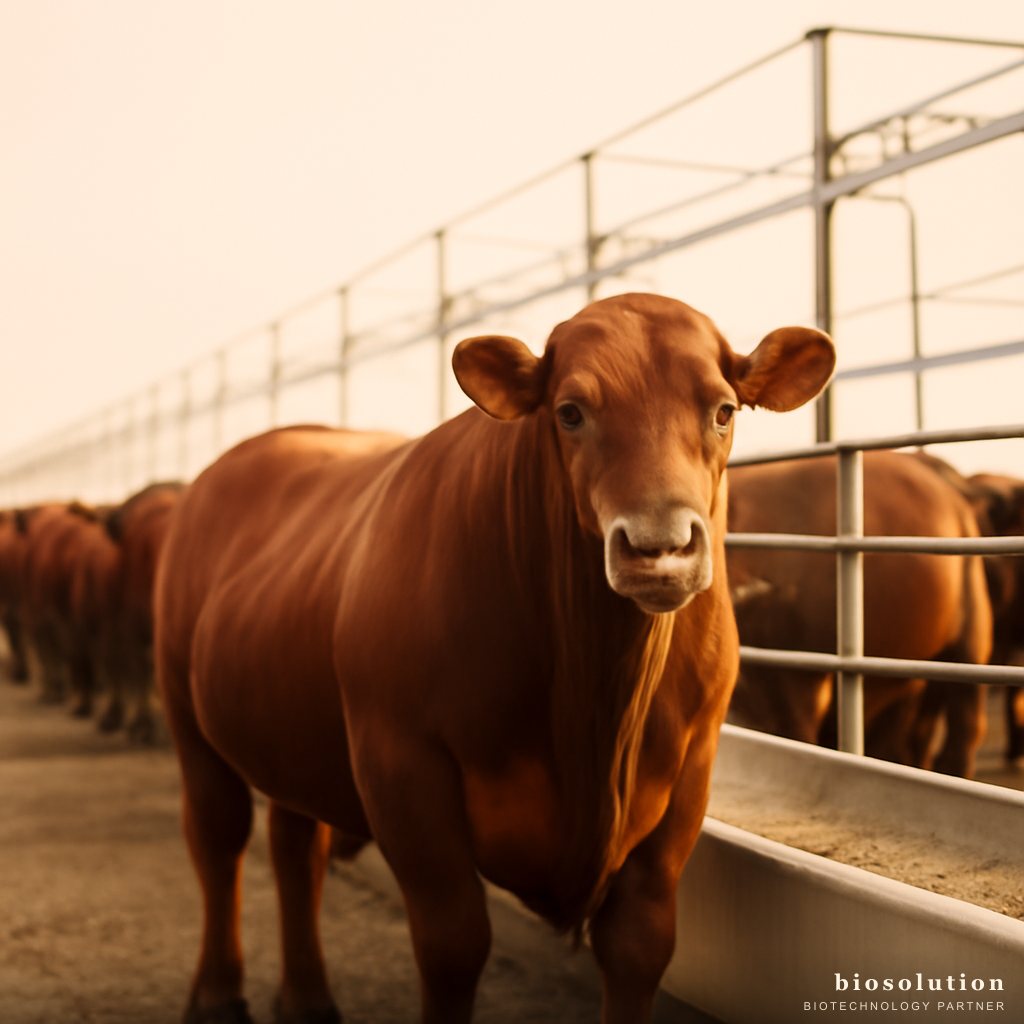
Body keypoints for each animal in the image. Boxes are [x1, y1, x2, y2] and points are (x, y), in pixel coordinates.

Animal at [155, 293, 833, 1024]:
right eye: (570, 411)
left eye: (723, 410)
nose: (660, 548)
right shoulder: (401, 762)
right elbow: (454, 944)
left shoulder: (690, 770)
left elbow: (639, 943)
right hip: (187, 714)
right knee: (218, 838)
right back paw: (217, 995)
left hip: (293, 726)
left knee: (294, 844)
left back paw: (306, 999)